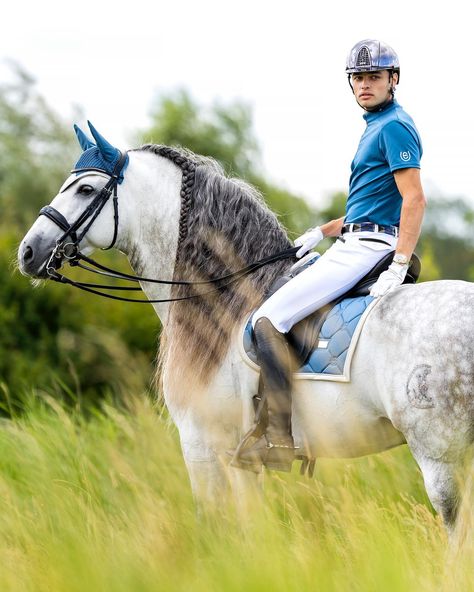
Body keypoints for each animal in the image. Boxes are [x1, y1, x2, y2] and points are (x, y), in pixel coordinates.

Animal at [17, 125, 474, 532]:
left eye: (85, 190)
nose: (28, 252)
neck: (229, 296)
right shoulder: (242, 460)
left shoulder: (202, 444)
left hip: (439, 456)